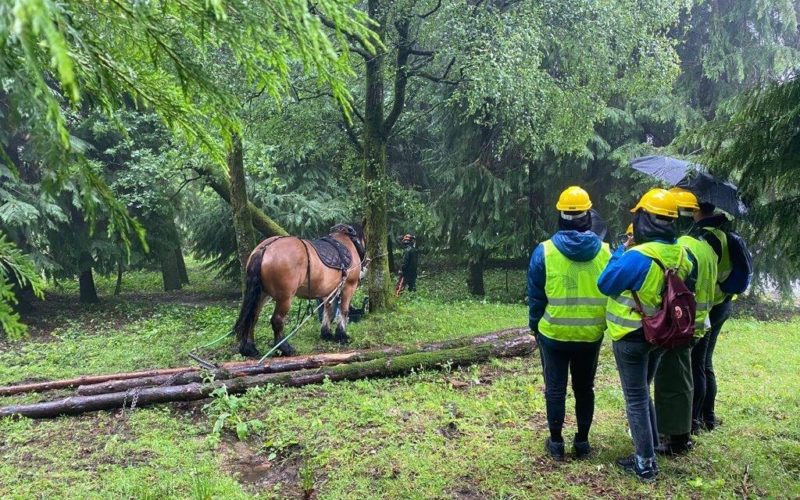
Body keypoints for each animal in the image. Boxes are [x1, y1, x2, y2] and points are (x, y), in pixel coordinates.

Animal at [233, 225, 368, 358]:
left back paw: (249, 349)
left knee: (252, 317)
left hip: (262, 294)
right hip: (285, 298)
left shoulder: (330, 290)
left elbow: (328, 311)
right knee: (276, 320)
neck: (346, 241)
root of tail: (265, 248)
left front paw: (326, 334)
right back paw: (286, 348)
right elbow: (344, 311)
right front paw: (342, 336)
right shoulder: (349, 286)